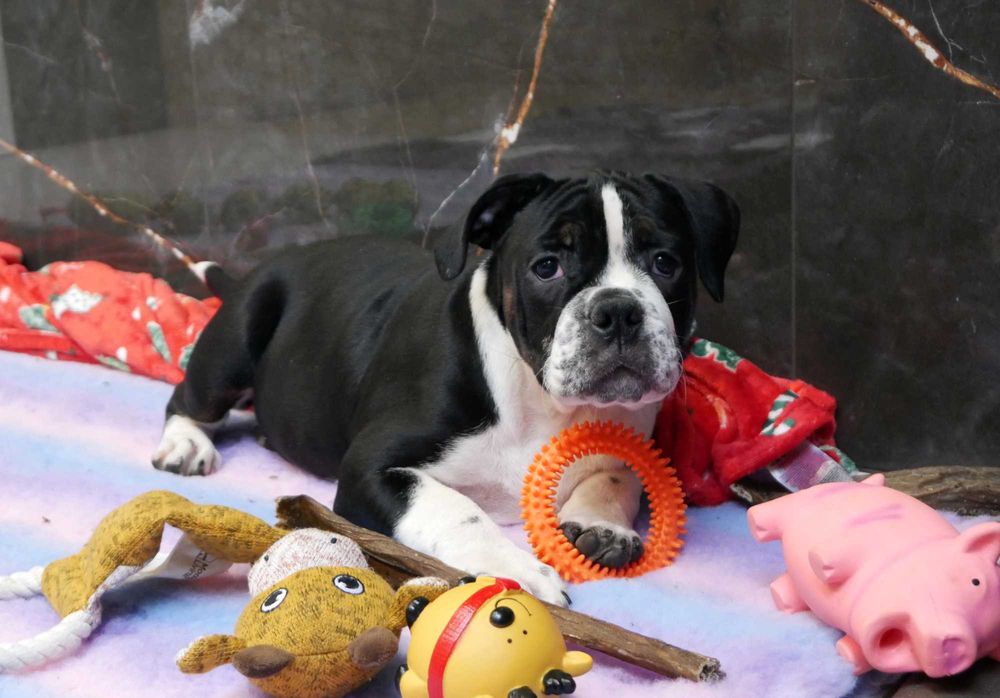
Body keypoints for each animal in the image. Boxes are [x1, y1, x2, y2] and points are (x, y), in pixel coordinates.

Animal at [151, 171, 739, 605]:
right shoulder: (373, 468)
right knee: (189, 397)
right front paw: (515, 569)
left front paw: (601, 524)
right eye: (547, 267)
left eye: (666, 263)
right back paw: (185, 443)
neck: (539, 399)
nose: (617, 310)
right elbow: (455, 508)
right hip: (237, 339)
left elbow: (619, 476)